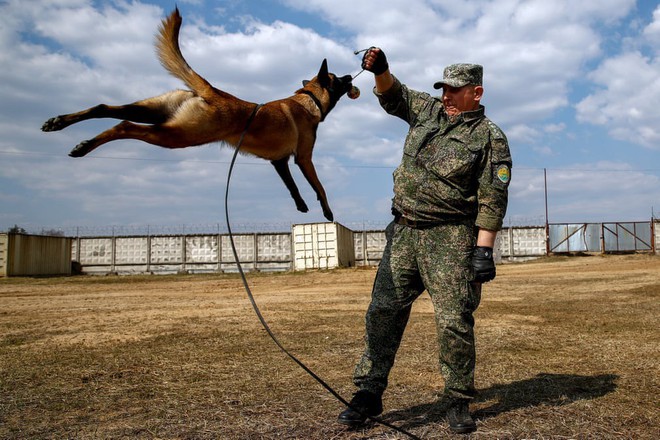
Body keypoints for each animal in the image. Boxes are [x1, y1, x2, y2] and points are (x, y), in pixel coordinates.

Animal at [42, 6, 358, 220]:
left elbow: (292, 186)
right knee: (123, 125)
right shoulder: (303, 157)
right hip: (180, 134)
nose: (350, 76)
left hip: (157, 112)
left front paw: (301, 205)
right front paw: (327, 211)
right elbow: (319, 186)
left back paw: (61, 127)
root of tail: (211, 91)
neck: (308, 100)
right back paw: (83, 144)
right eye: (337, 79)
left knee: (105, 108)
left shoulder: (278, 162)